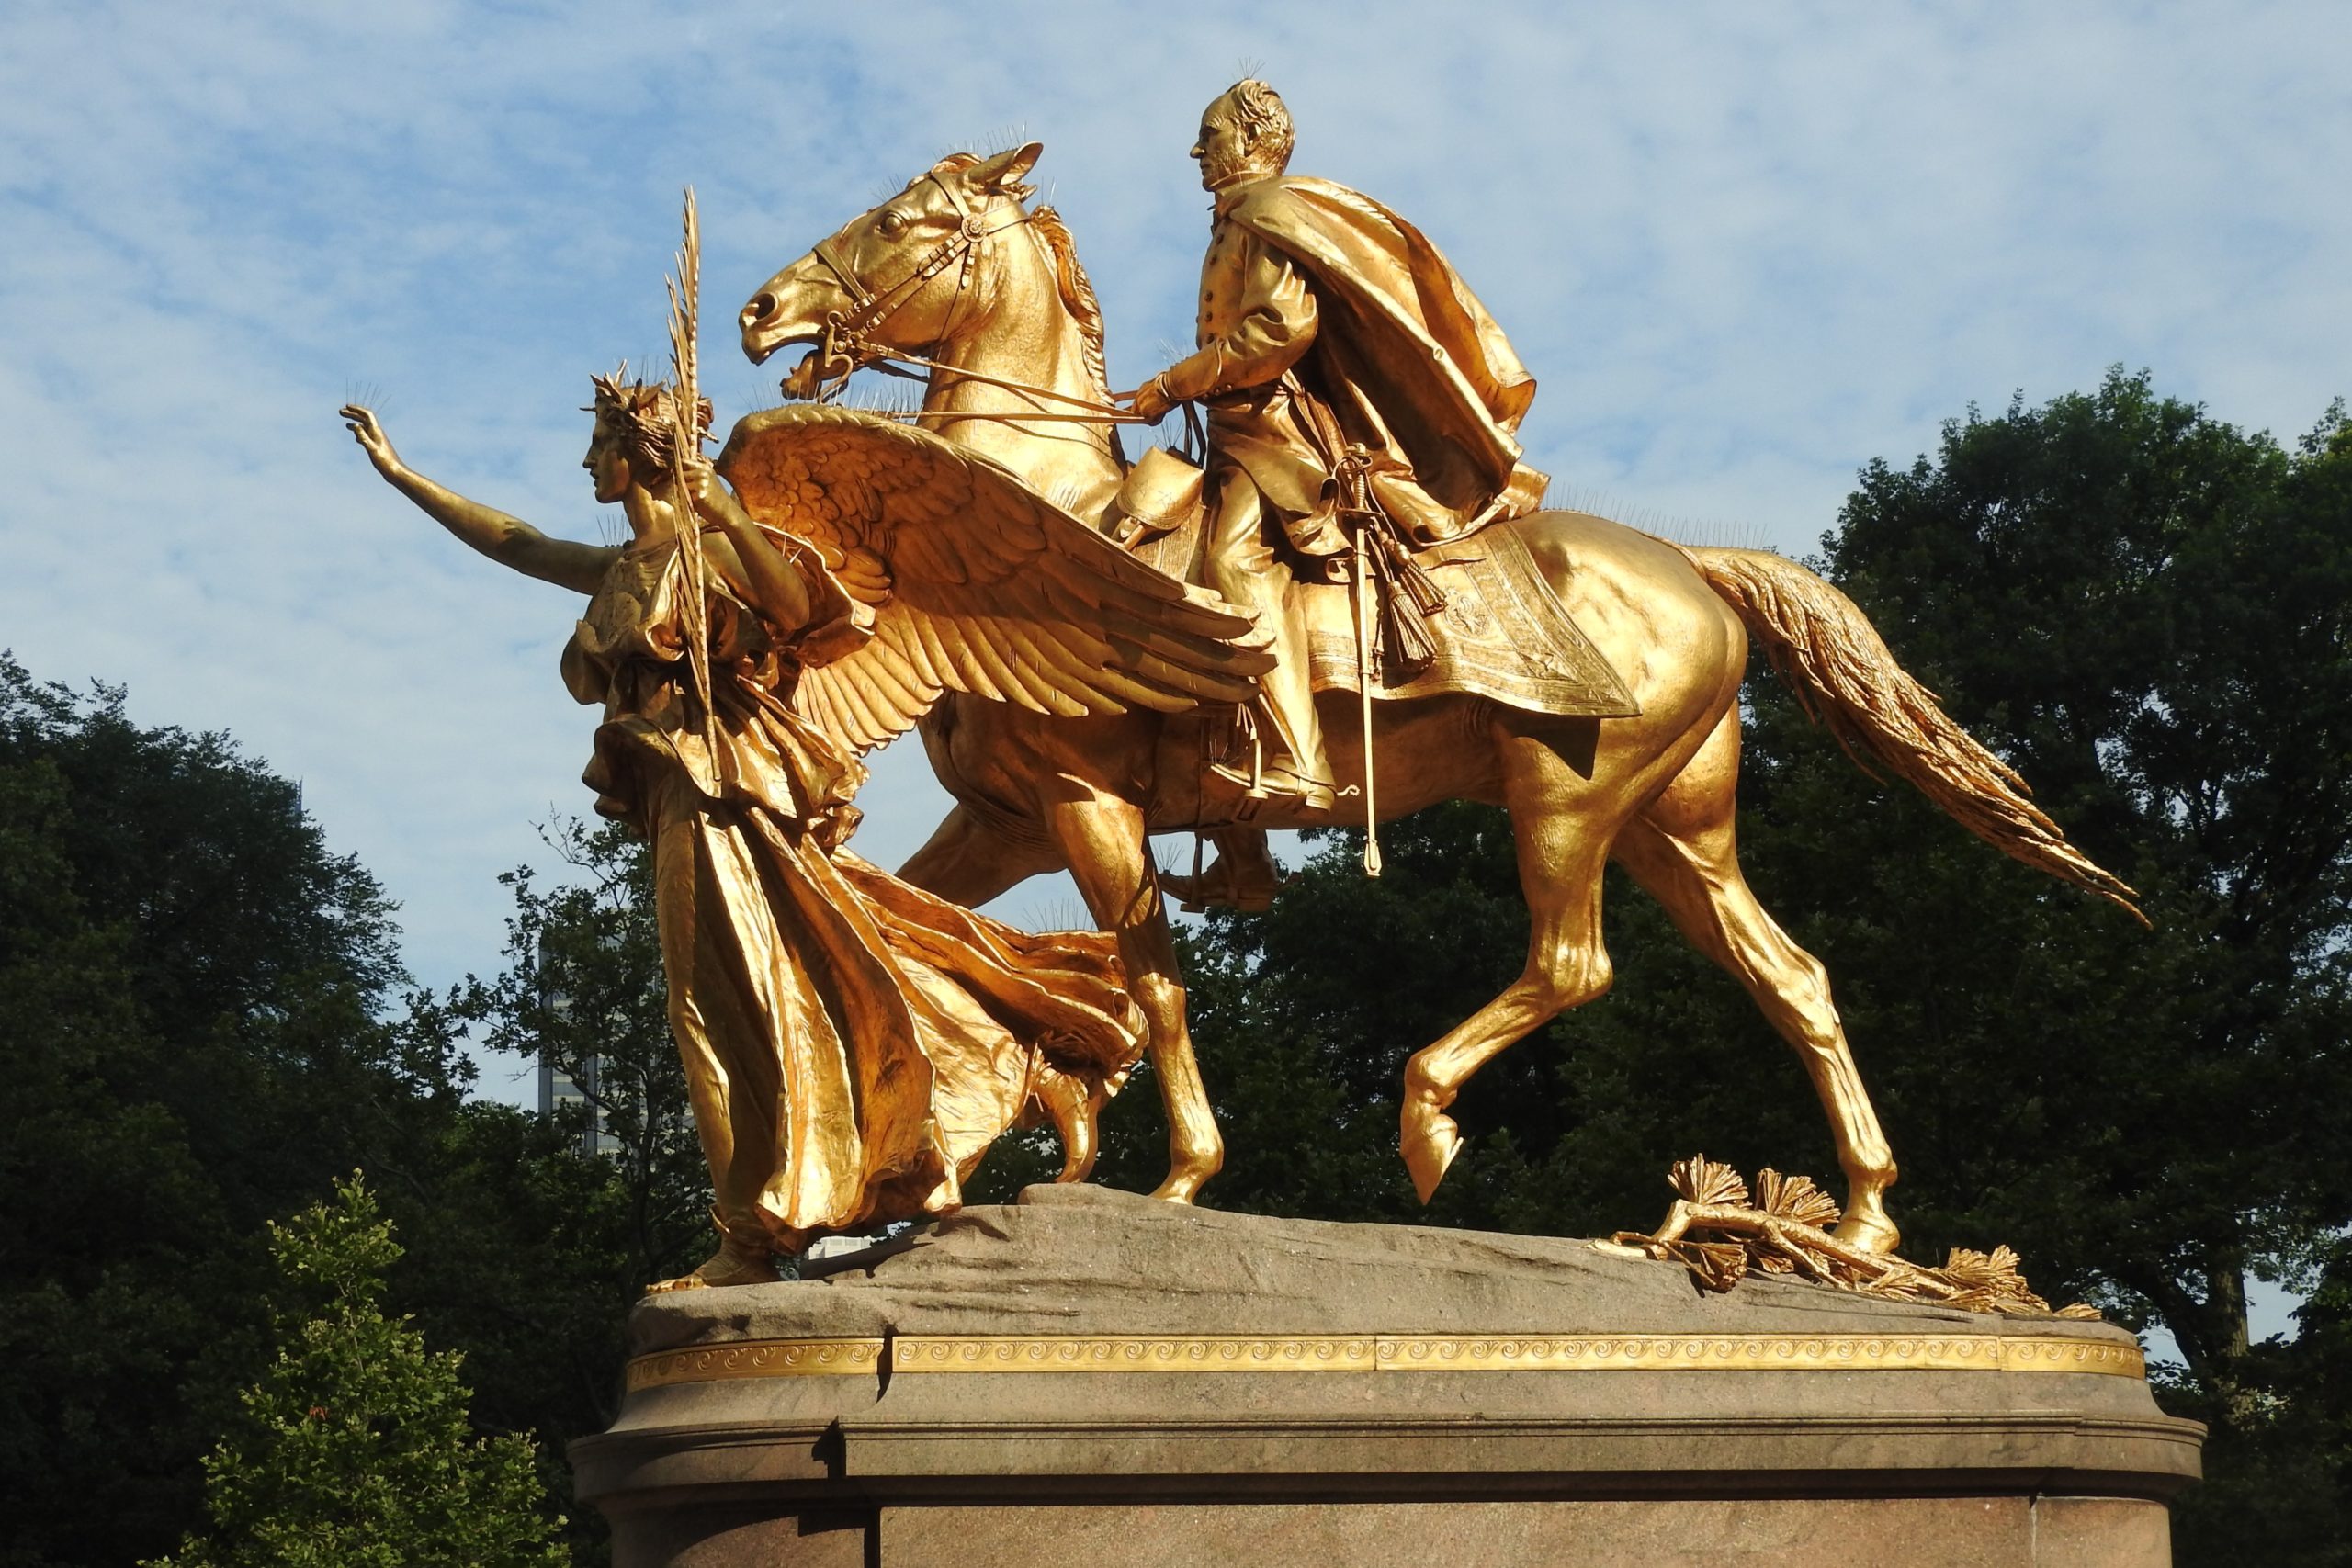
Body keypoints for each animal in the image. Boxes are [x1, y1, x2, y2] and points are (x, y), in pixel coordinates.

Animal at [729, 143, 2135, 1250]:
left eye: (902, 219)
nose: (760, 310)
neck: (1042, 520)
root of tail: (1698, 565)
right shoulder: (1007, 819)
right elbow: (908, 915)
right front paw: (1011, 1141)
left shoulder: (1089, 804)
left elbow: (1156, 981)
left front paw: (1174, 1177)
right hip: (1677, 825)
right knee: (1792, 977)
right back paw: (1866, 1219)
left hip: (1565, 795)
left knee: (1572, 963)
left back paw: (1426, 1120)